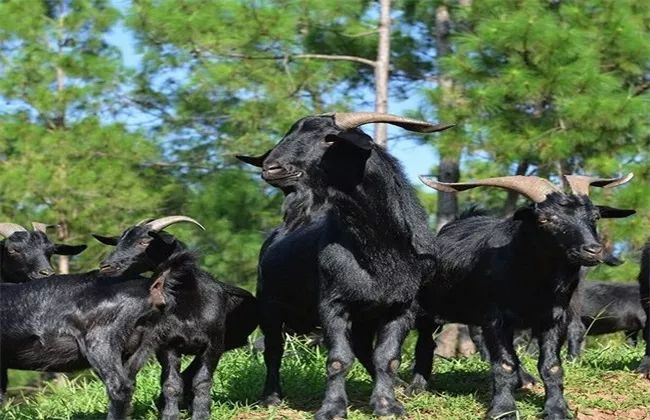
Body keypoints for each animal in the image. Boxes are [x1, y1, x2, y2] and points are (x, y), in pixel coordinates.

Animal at [237, 111, 450, 420]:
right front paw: (332, 409)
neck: (382, 252)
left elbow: (387, 358)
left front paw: (388, 405)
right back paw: (271, 398)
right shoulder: (333, 304)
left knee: (364, 350)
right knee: (273, 350)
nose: (271, 168)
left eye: (330, 138)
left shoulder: (401, 308)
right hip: (269, 305)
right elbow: (338, 359)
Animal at [412, 173, 632, 420]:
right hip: (427, 310)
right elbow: (505, 363)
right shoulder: (496, 319)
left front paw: (557, 408)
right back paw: (417, 387)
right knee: (426, 342)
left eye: (594, 216)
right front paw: (503, 410)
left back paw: (524, 379)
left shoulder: (553, 319)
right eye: (545, 219)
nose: (593, 250)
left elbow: (551, 365)